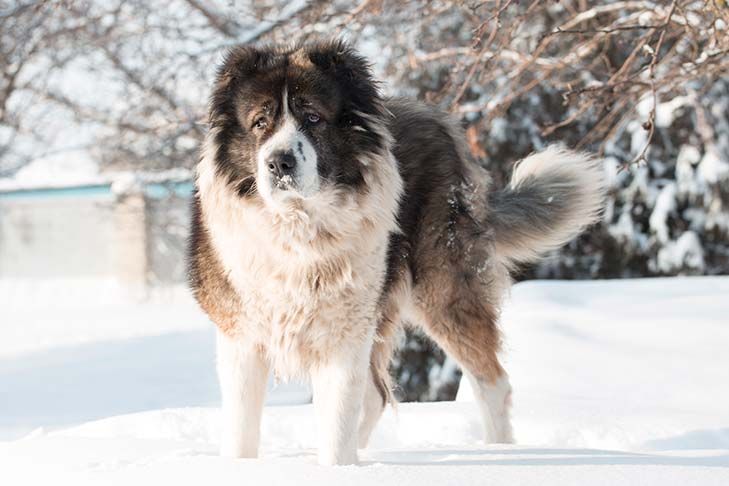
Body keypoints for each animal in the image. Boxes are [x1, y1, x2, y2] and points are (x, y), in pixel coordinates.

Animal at [186, 39, 604, 466]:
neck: (298, 228)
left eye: (313, 118)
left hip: (443, 291)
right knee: (376, 396)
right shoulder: (242, 336)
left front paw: (338, 469)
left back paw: (503, 452)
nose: (278, 162)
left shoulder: (347, 331)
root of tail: (440, 123)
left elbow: (338, 422)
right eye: (259, 122)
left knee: (491, 383)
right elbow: (243, 430)